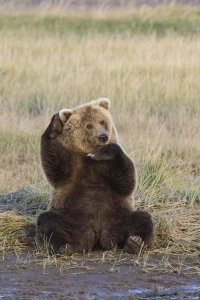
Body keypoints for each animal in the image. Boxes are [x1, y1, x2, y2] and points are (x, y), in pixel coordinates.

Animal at [37, 99, 153, 254]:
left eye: (102, 121)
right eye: (88, 125)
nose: (103, 136)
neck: (87, 154)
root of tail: (97, 234)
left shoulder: (107, 167)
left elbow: (126, 182)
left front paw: (103, 151)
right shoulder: (72, 166)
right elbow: (54, 167)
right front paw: (55, 124)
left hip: (117, 217)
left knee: (142, 218)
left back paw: (135, 242)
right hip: (73, 219)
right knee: (49, 221)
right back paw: (63, 246)